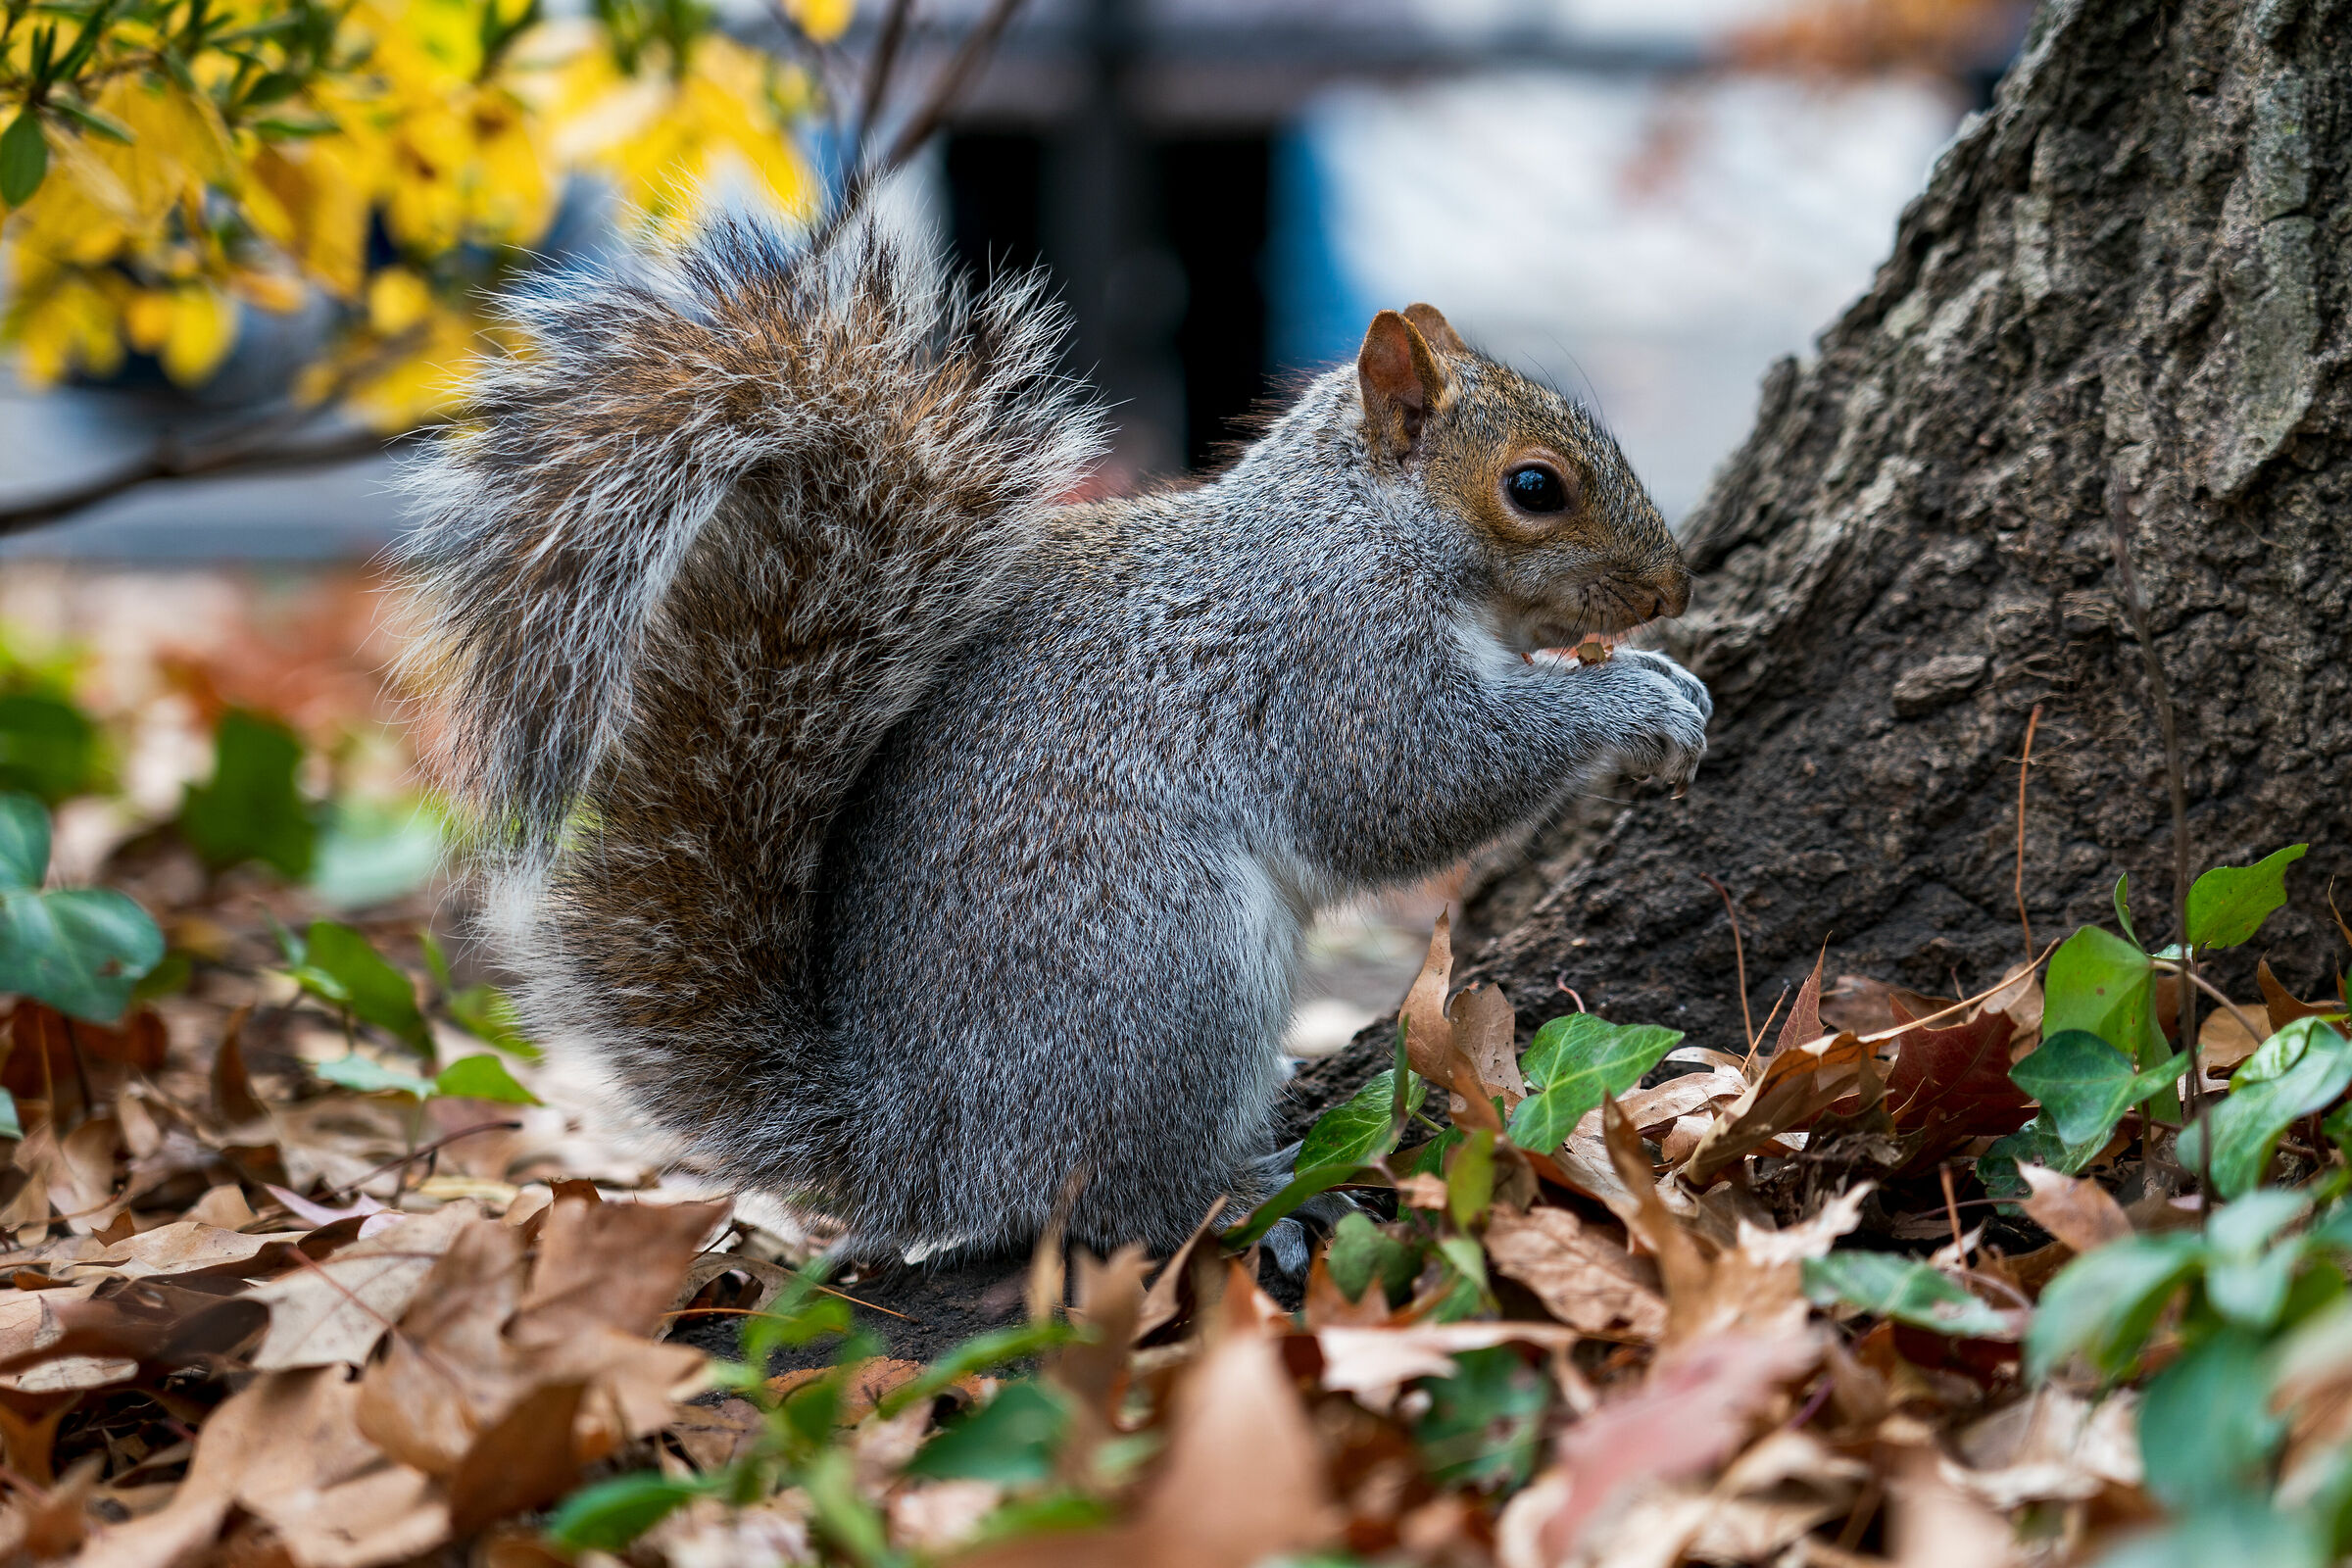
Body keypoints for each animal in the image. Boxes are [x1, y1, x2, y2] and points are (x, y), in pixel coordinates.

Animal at [394, 217, 1710, 1265]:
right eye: (1534, 487)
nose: (1671, 587)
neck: (1360, 525)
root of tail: (913, 1144)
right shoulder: (1333, 656)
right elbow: (1416, 786)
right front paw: (1636, 702)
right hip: (1162, 973)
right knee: (1121, 1199)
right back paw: (1256, 1198)